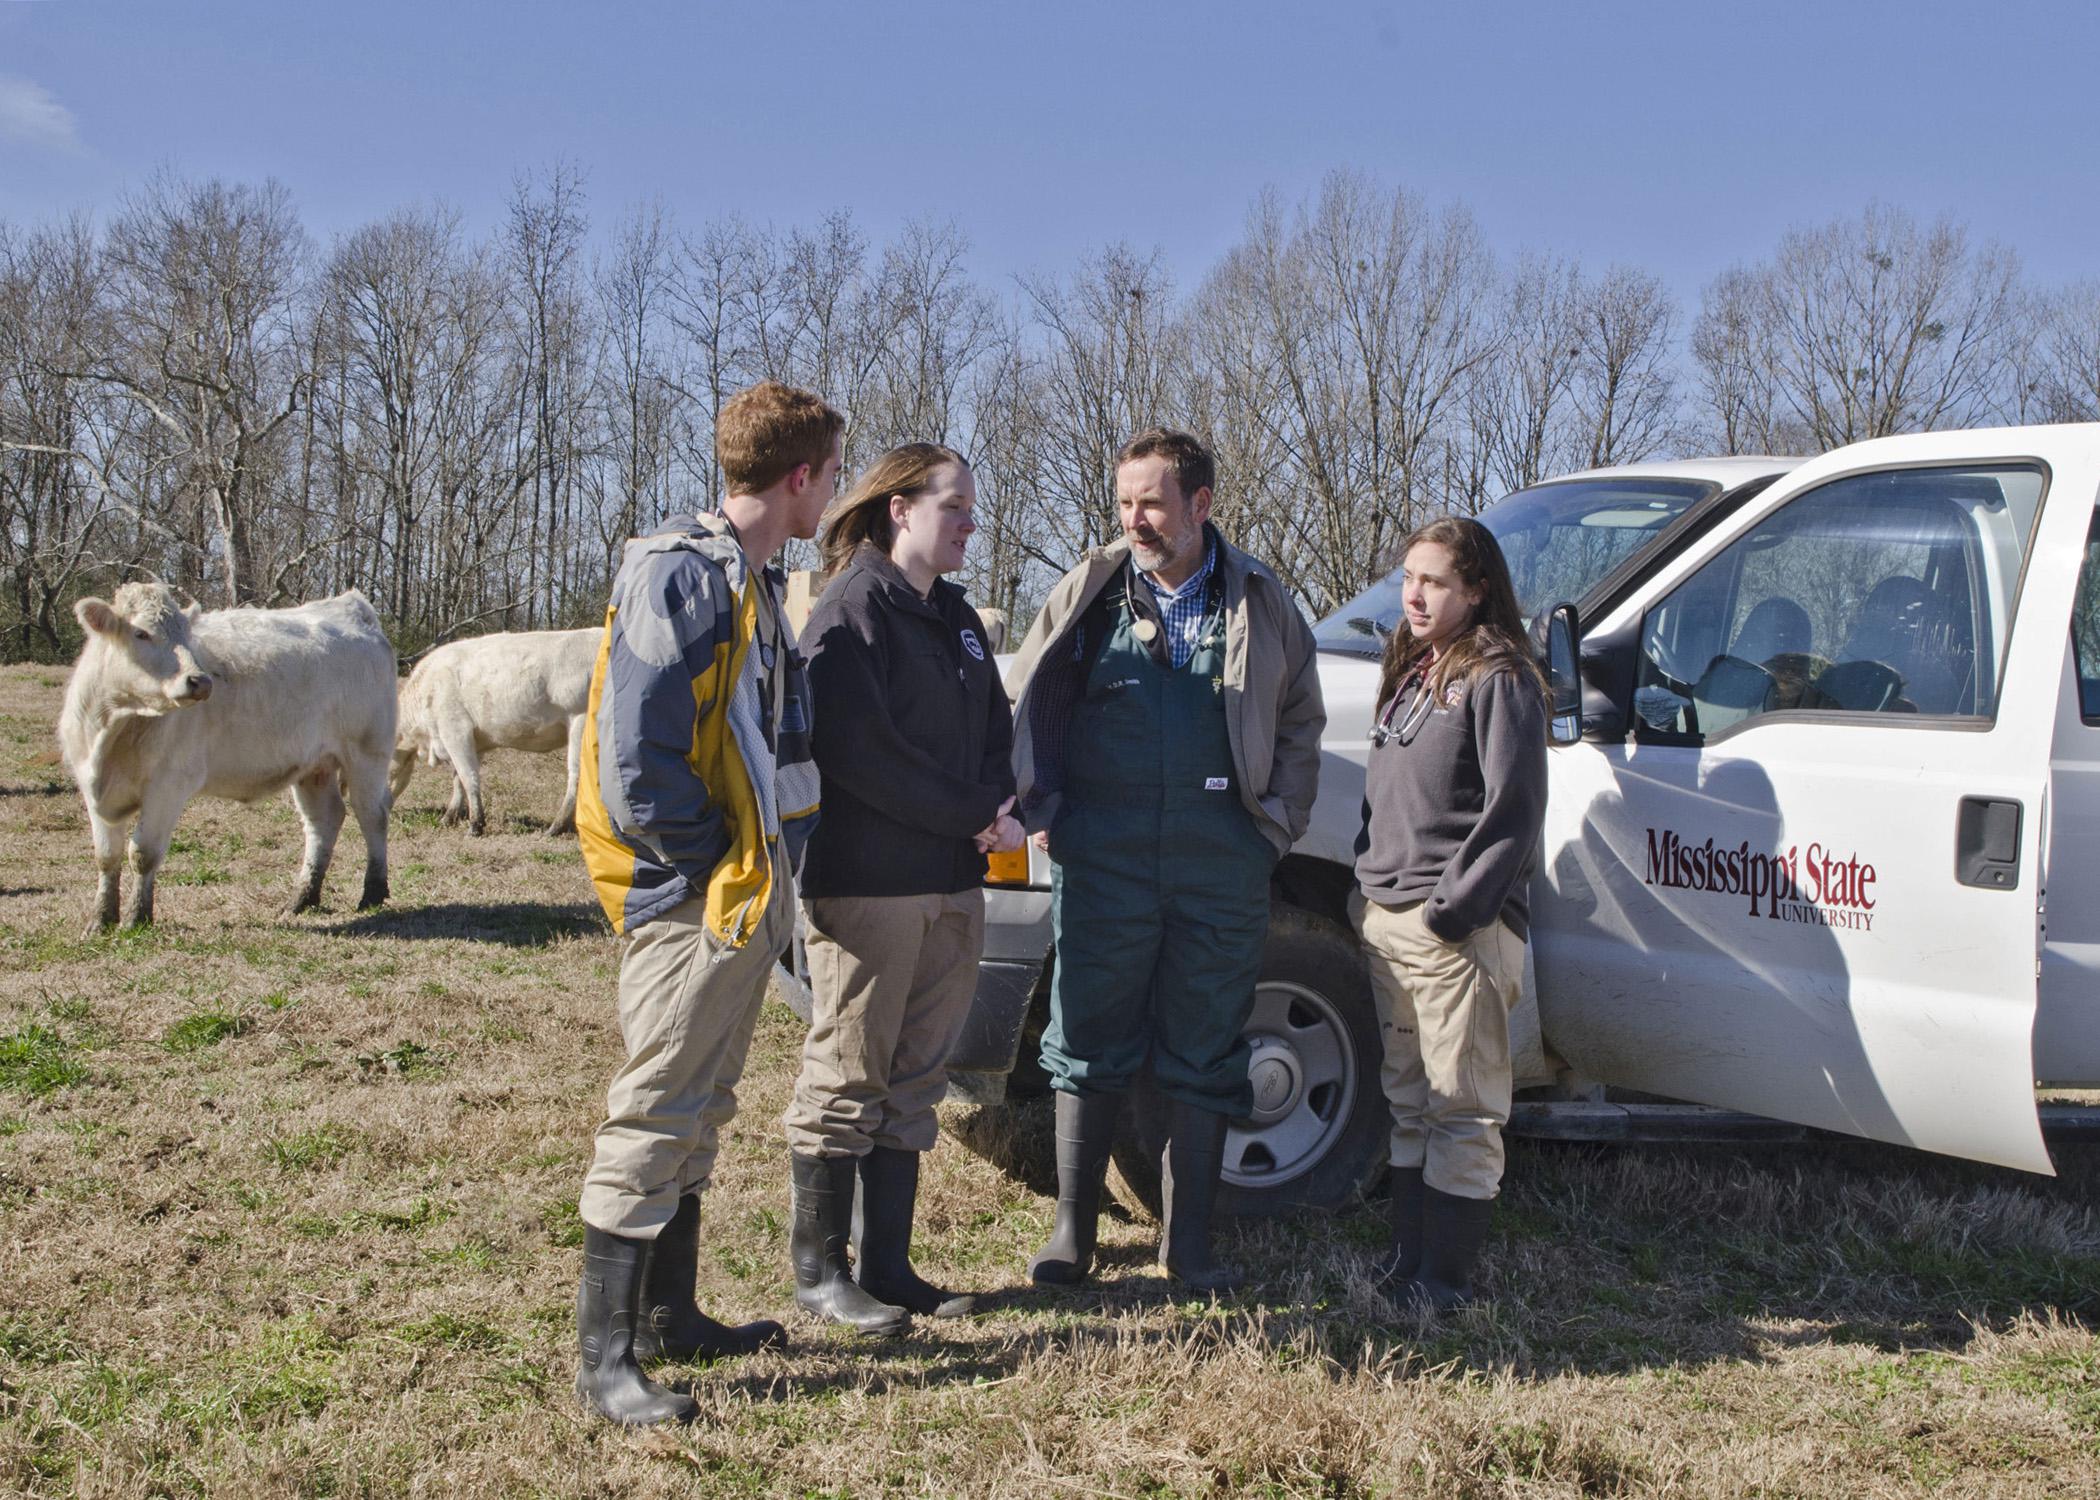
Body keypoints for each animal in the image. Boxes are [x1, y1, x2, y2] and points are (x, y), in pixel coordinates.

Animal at [59, 579, 394, 924]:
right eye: (141, 633)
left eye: (186, 634)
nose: (200, 681)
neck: (114, 728)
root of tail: (349, 606)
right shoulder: (92, 785)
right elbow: (106, 856)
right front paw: (100, 919)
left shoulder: (169, 784)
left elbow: (142, 854)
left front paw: (137, 917)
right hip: (315, 766)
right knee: (323, 820)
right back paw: (302, 898)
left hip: (367, 753)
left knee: (372, 814)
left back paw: (372, 892)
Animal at [388, 626, 600, 836]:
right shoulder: (472, 742)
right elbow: (458, 780)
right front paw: (449, 818)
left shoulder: (455, 730)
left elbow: (468, 776)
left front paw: (475, 825)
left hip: (580, 723)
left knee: (577, 777)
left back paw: (555, 827)